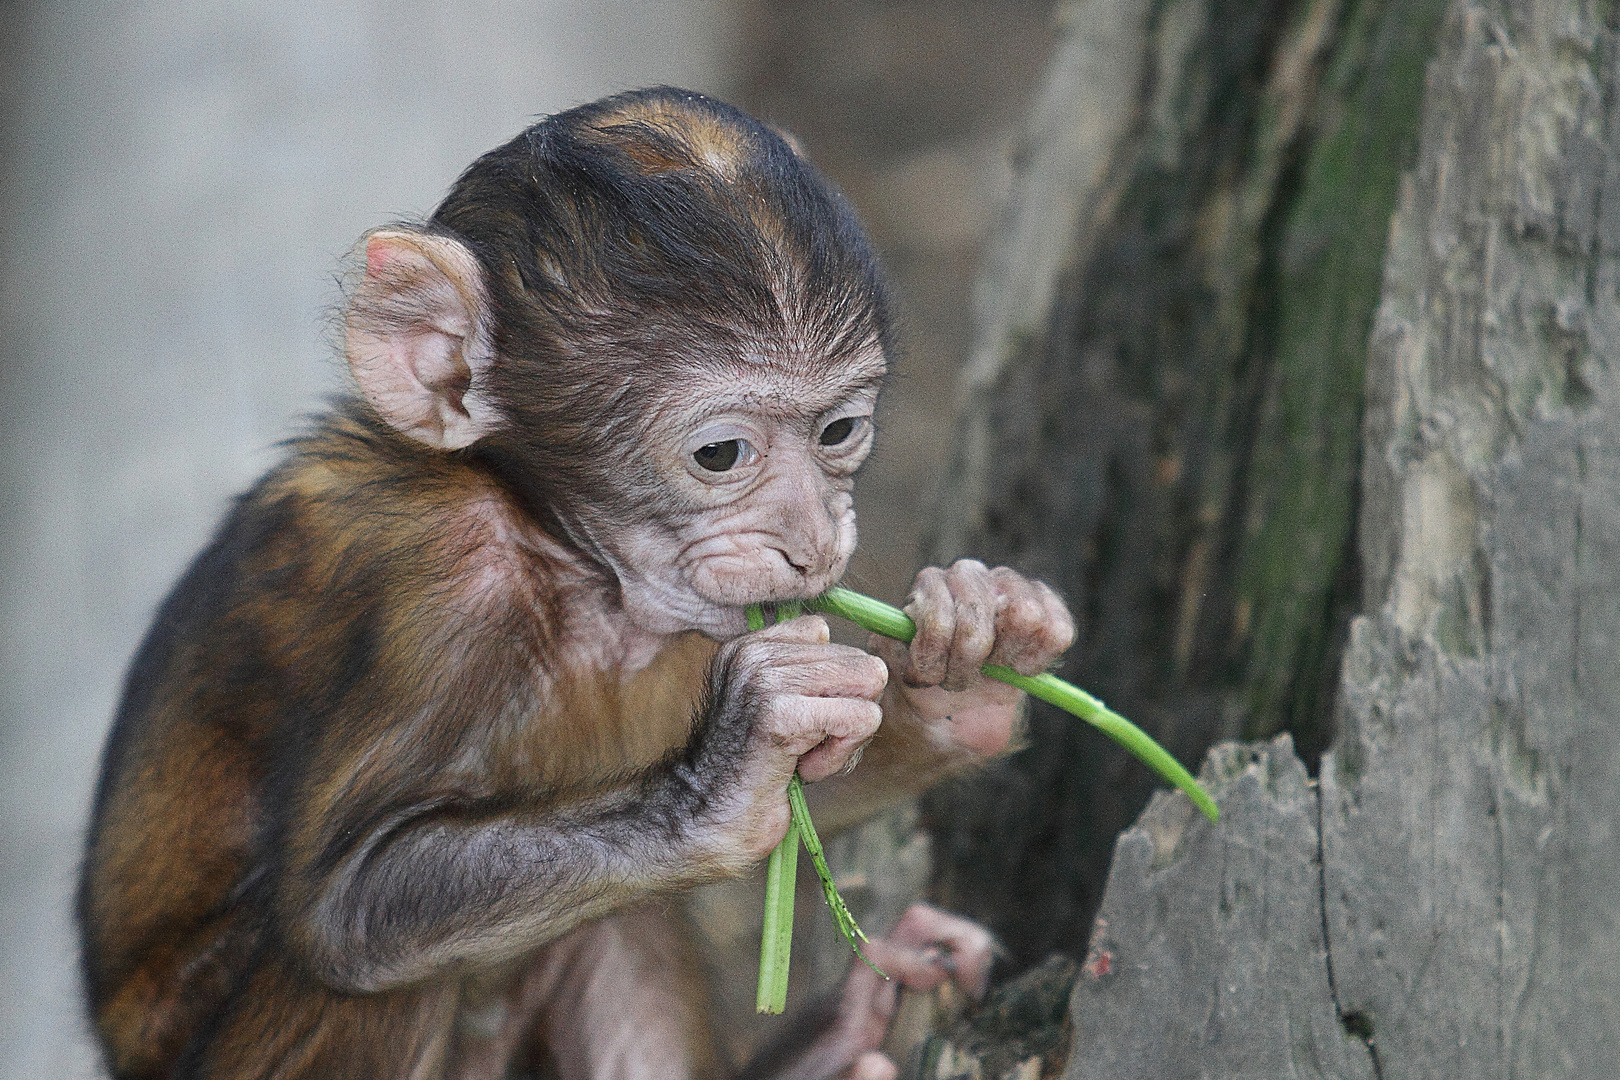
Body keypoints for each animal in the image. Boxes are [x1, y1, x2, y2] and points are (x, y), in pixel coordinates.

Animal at [78, 90, 1075, 1080]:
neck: (563, 553)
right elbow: (339, 908)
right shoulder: (444, 585)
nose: (811, 542)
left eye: (838, 431)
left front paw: (967, 664)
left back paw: (834, 1045)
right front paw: (732, 772)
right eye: (722, 454)